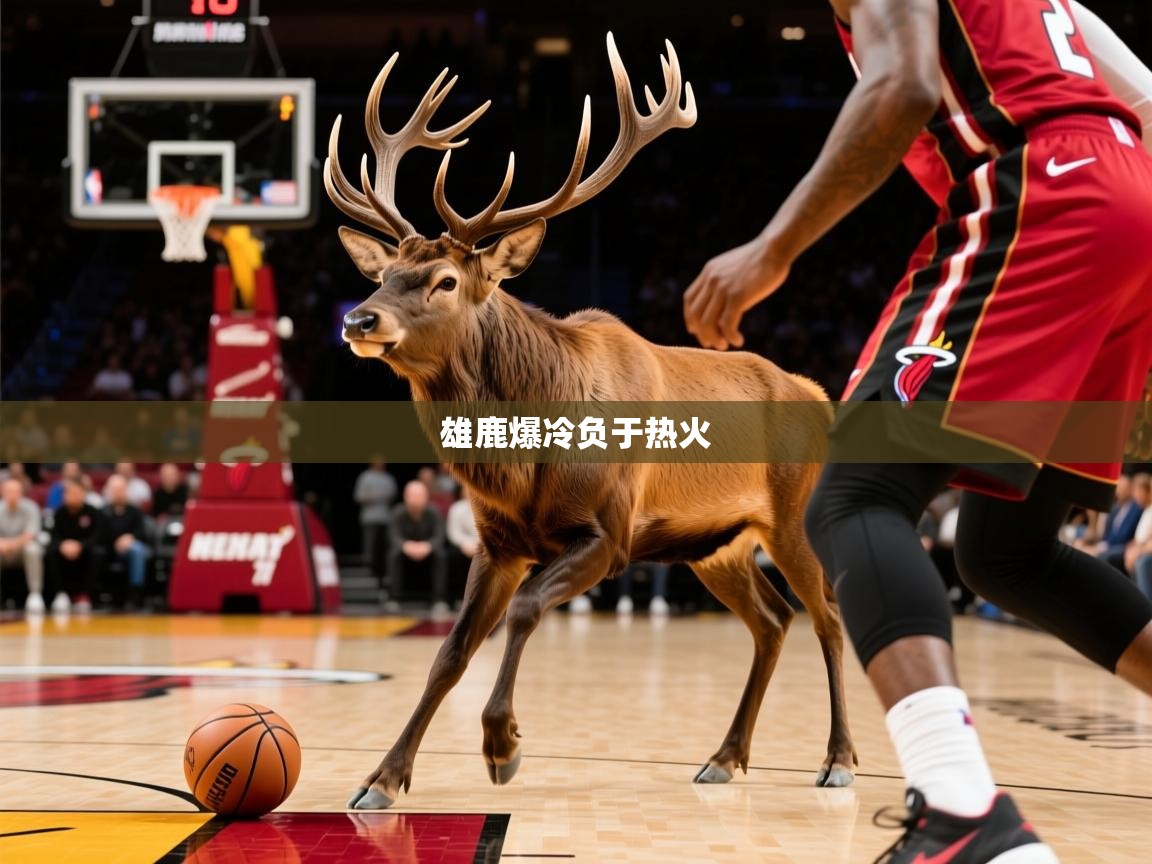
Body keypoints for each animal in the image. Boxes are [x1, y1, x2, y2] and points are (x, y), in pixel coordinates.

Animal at [326, 33, 858, 811]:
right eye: (385, 272)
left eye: (445, 281)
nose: (358, 320)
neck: (528, 463)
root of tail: (818, 394)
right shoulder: (497, 541)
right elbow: (449, 652)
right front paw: (382, 780)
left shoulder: (609, 532)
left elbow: (525, 611)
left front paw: (503, 747)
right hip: (715, 544)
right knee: (772, 618)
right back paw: (724, 757)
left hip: (795, 515)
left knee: (828, 612)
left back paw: (838, 759)